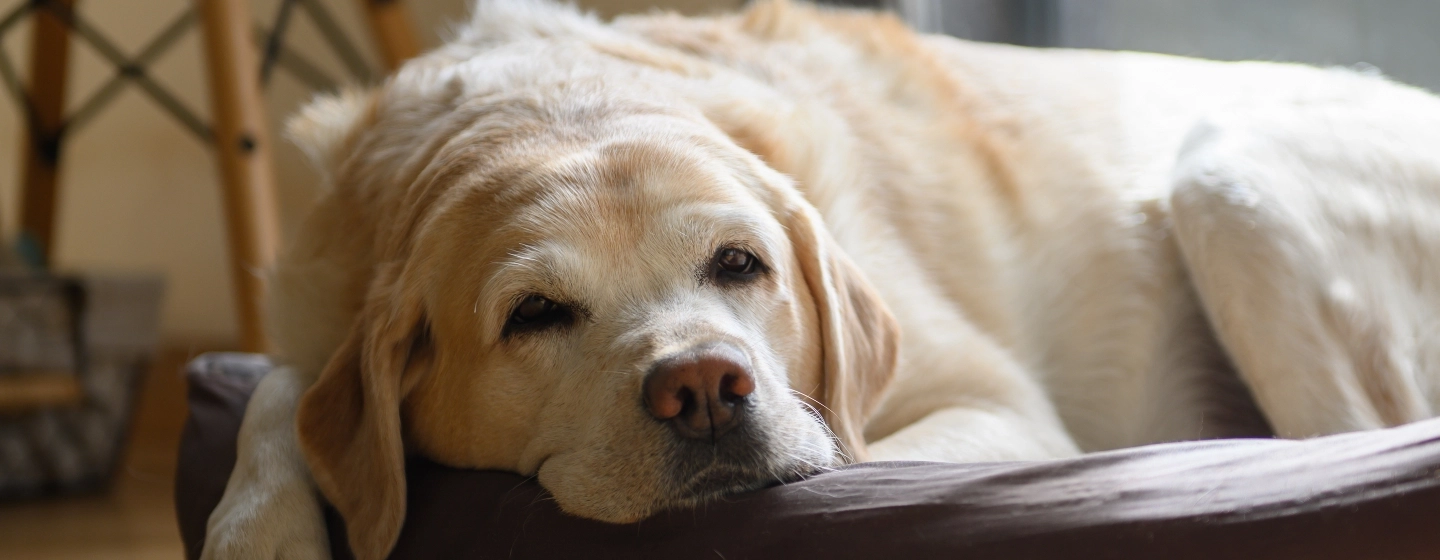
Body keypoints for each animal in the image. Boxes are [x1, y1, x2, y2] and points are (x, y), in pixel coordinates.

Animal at [200, 2, 1440, 555]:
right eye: (534, 314)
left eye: (739, 263)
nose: (703, 385)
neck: (557, 100)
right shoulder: (317, 308)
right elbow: (280, 394)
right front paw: (259, 526)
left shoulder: (995, 403)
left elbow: (855, 453)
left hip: (1233, 187)